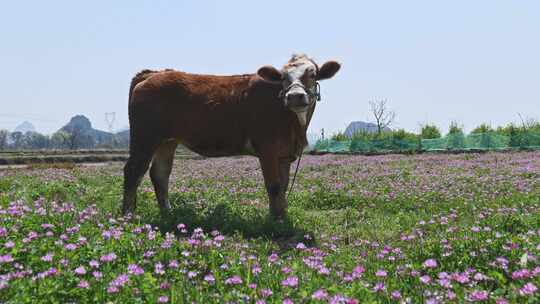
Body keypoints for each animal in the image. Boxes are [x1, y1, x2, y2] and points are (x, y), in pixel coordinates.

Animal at [123, 53, 342, 217]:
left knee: (159, 173)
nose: (295, 96)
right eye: (282, 77)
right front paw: (275, 221)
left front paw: (282, 215)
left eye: (313, 74)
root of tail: (153, 74)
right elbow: (273, 186)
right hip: (145, 137)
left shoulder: (284, 154)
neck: (293, 124)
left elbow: (283, 186)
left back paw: (167, 213)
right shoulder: (267, 149)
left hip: (167, 140)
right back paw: (128, 216)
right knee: (134, 171)